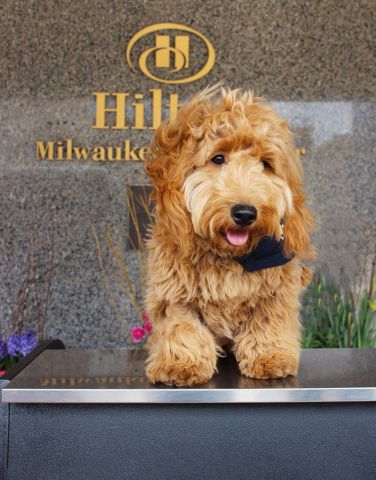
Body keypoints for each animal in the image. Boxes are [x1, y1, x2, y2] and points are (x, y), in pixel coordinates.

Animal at [144, 86, 314, 386]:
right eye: (218, 158)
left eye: (265, 164)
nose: (245, 213)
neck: (230, 255)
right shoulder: (174, 292)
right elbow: (183, 327)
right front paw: (180, 364)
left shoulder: (276, 290)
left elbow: (268, 321)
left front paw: (270, 357)